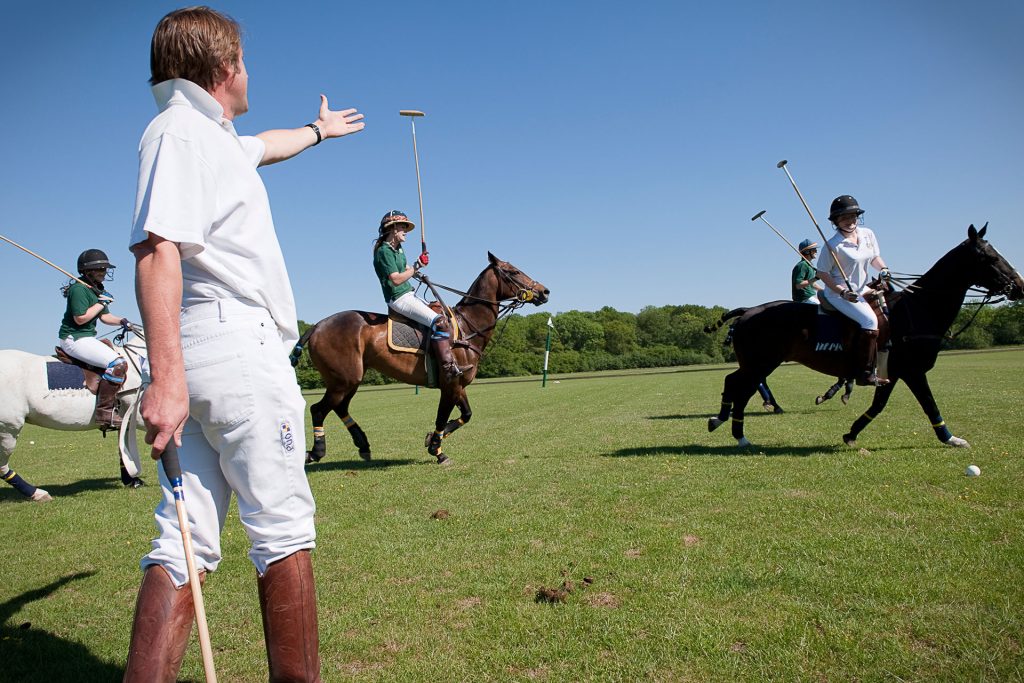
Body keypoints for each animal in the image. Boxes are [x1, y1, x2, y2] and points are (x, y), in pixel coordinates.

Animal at [0, 327, 148, 505]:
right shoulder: (139, 414)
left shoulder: (127, 417)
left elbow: (123, 448)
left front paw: (132, 480)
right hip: (9, 427)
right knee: (2, 466)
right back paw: (37, 493)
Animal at [296, 253, 548, 466]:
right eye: (514, 271)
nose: (545, 291)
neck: (468, 328)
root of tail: (317, 326)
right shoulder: (450, 384)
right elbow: (441, 417)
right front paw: (438, 450)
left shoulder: (459, 384)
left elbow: (466, 414)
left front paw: (431, 439)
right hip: (343, 380)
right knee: (319, 409)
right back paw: (316, 452)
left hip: (349, 380)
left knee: (339, 407)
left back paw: (363, 445)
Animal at [708, 225, 1019, 448]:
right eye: (991, 258)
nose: (1019, 286)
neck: (917, 310)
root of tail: (747, 311)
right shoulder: (912, 370)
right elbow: (929, 404)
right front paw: (950, 438)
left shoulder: (890, 371)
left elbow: (878, 403)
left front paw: (850, 433)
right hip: (762, 362)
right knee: (741, 387)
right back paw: (736, 431)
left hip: (756, 362)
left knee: (735, 383)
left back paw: (726, 422)